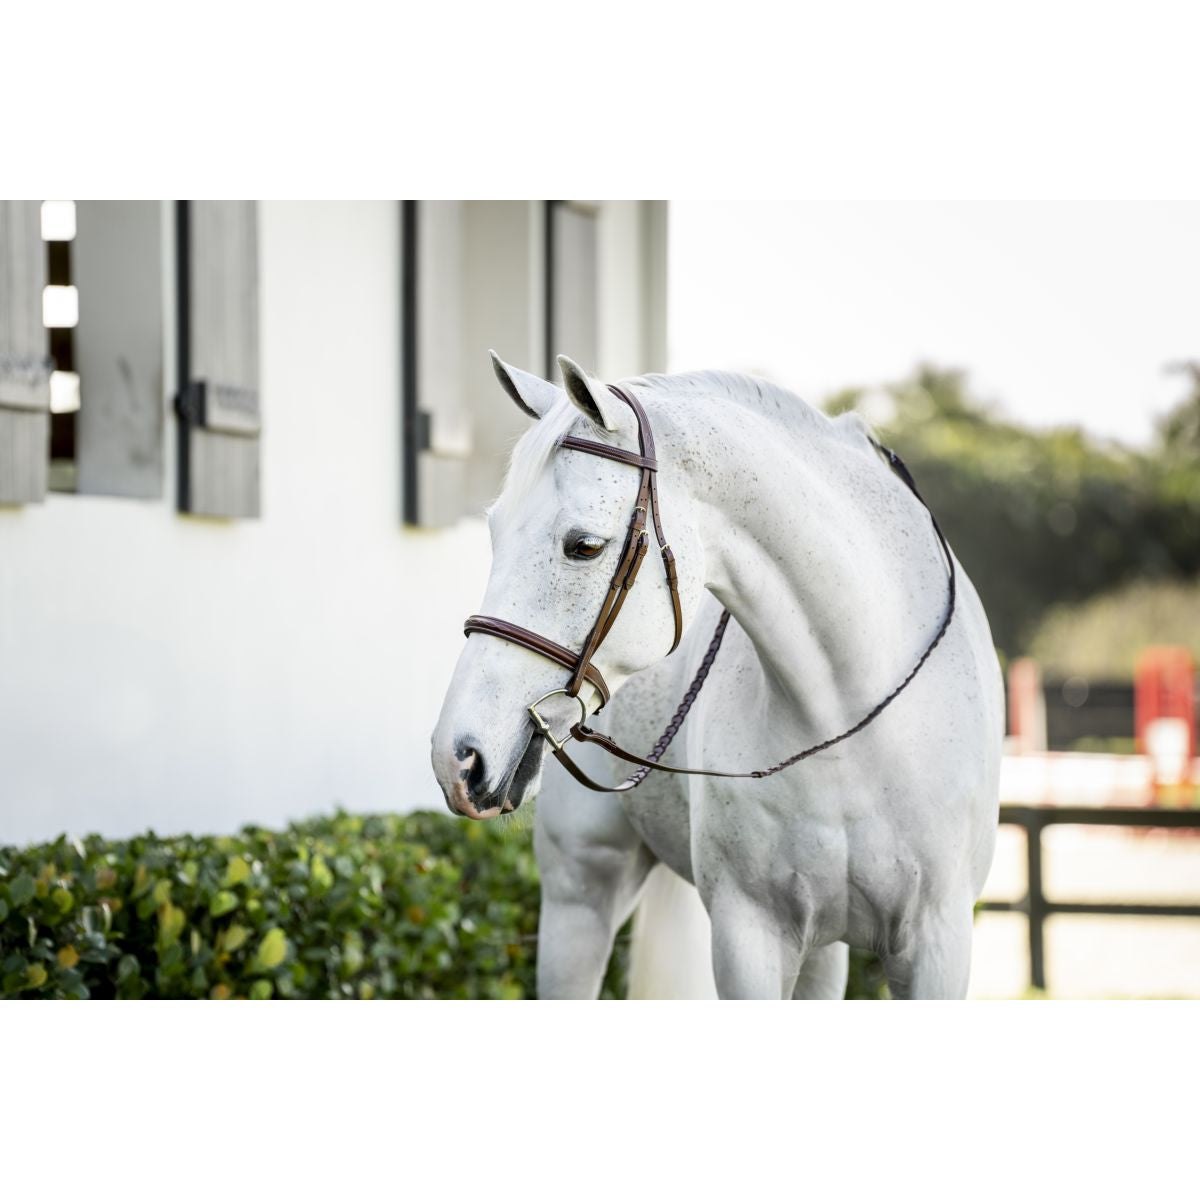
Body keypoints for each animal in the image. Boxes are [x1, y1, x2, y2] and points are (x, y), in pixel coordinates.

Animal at [431, 353, 1003, 999]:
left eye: (584, 546)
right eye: (494, 531)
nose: (458, 757)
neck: (850, 722)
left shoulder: (937, 944)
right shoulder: (749, 935)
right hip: (581, 893)